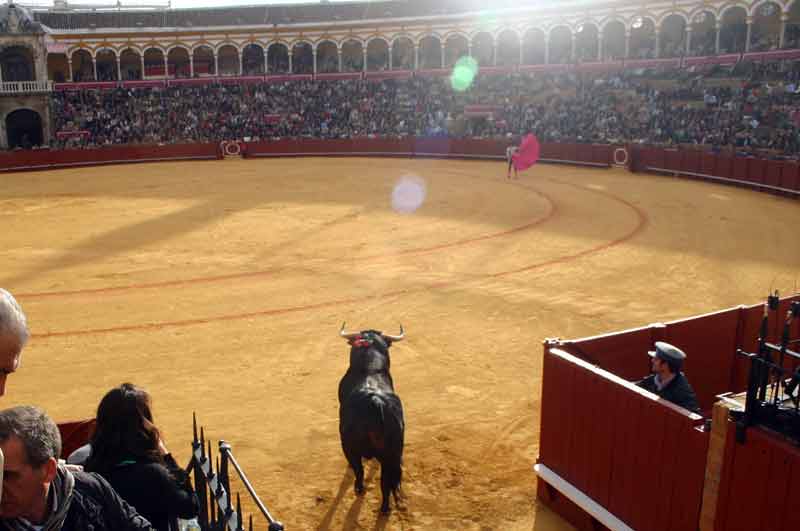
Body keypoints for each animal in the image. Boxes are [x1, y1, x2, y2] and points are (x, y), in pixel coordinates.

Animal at [336, 326, 404, 512]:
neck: (370, 370)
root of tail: (375, 401)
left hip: (350, 447)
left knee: (359, 471)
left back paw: (360, 489)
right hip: (393, 453)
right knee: (387, 481)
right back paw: (385, 508)